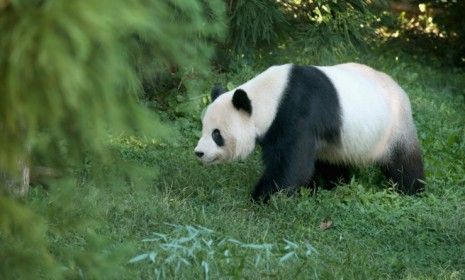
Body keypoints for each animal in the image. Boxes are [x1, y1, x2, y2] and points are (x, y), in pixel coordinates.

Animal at [193, 63, 424, 201]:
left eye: (217, 134)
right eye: (204, 129)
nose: (199, 153)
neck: (270, 96)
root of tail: (402, 91)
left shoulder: (297, 113)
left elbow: (292, 165)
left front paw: (261, 197)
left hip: (393, 129)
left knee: (404, 163)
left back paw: (412, 191)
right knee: (333, 162)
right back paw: (330, 186)